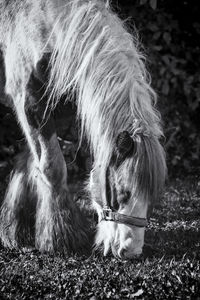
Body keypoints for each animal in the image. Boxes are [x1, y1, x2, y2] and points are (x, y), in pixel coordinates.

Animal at [0, 0, 166, 258]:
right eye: (124, 192)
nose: (131, 251)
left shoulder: (54, 114)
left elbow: (28, 163)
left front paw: (16, 231)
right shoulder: (29, 106)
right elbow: (52, 168)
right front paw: (61, 238)